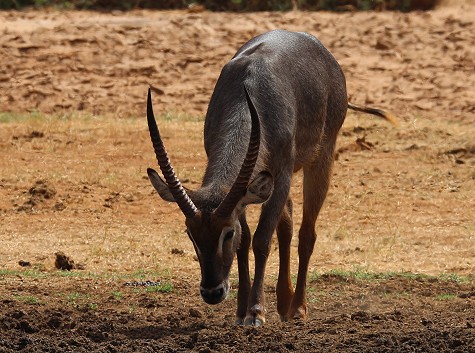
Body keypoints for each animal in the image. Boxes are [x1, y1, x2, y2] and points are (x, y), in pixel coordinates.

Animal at [146, 29, 398, 324]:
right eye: (190, 233)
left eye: (227, 233)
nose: (212, 292)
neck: (248, 94)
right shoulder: (242, 194)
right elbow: (247, 242)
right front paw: (242, 310)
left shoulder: (281, 175)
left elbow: (262, 239)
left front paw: (256, 312)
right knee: (287, 222)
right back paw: (284, 302)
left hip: (321, 158)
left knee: (306, 233)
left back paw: (298, 307)